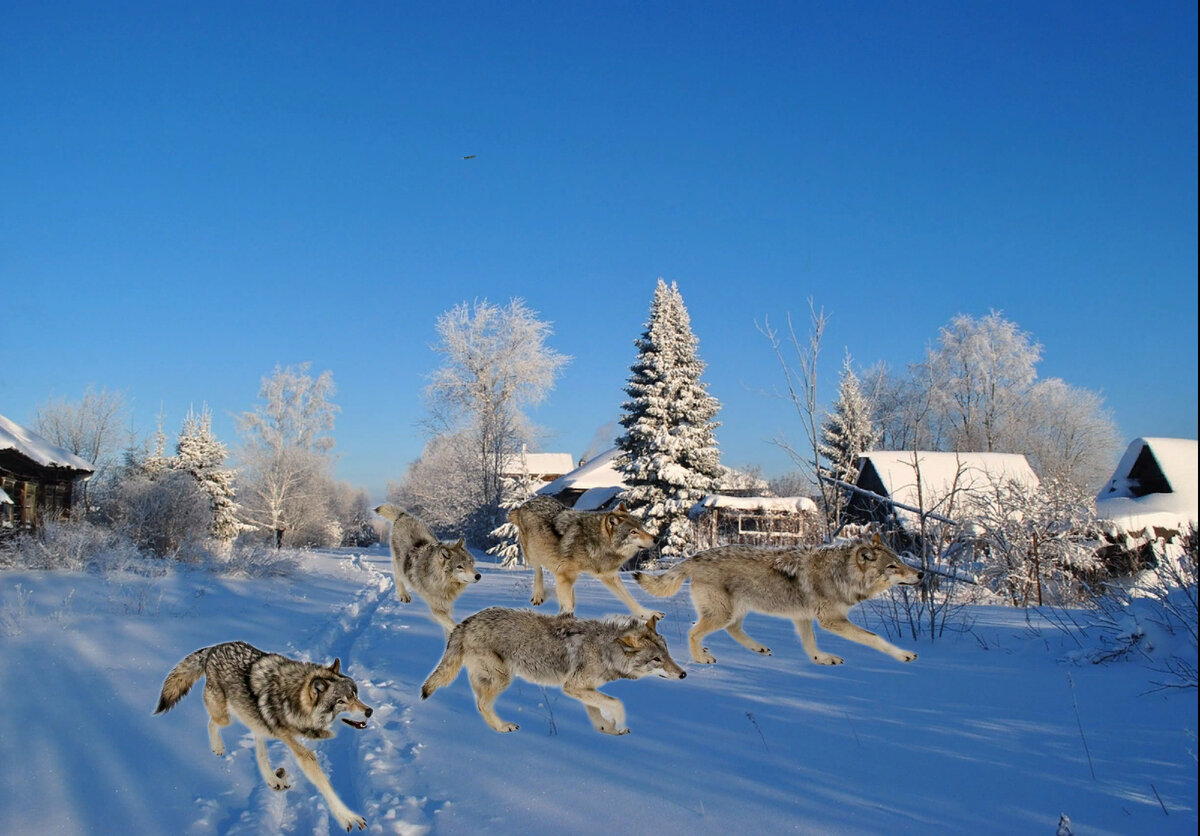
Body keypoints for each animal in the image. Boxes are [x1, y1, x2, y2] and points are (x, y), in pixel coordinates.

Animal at [154, 638, 372, 830]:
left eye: (356, 695)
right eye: (342, 702)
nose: (369, 711)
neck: (295, 701)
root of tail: (213, 648)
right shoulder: (298, 748)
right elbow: (324, 782)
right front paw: (347, 816)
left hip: (258, 722)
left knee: (259, 751)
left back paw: (274, 780)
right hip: (226, 717)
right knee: (211, 723)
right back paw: (218, 748)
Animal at [374, 501, 477, 633]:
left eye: (470, 562)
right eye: (459, 566)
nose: (478, 576)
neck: (442, 583)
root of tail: (404, 516)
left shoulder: (446, 606)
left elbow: (448, 626)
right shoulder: (436, 608)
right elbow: (452, 624)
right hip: (399, 563)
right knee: (397, 576)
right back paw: (404, 595)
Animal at [420, 602, 686, 734]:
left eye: (667, 654)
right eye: (656, 659)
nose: (683, 674)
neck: (605, 649)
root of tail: (465, 623)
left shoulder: (584, 689)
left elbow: (598, 715)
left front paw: (609, 730)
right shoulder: (572, 687)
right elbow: (617, 704)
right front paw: (619, 724)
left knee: (478, 703)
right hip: (502, 678)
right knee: (483, 704)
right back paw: (503, 727)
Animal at [504, 496, 662, 618]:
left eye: (641, 528)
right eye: (633, 532)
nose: (657, 539)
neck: (593, 542)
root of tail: (524, 505)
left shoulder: (609, 576)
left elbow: (630, 599)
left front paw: (647, 615)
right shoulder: (565, 575)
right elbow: (566, 604)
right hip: (533, 554)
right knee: (538, 571)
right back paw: (538, 596)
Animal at [633, 534, 921, 666]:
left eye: (901, 562)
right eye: (892, 567)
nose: (921, 574)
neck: (841, 574)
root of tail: (695, 556)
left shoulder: (802, 616)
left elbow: (809, 644)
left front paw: (820, 659)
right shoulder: (831, 621)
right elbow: (876, 639)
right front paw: (904, 654)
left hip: (734, 612)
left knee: (730, 629)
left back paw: (756, 648)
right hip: (722, 613)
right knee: (694, 632)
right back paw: (700, 658)